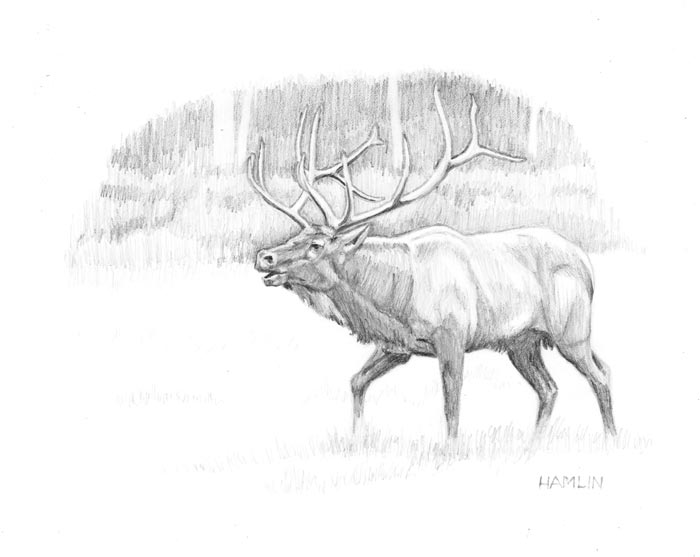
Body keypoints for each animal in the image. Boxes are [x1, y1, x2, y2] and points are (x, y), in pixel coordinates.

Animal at [246, 84, 617, 439]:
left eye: (317, 245)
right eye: (297, 234)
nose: (265, 256)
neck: (391, 301)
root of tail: (587, 265)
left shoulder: (452, 336)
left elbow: (451, 407)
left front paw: (448, 449)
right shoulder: (396, 345)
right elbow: (356, 382)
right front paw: (356, 439)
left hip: (572, 331)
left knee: (600, 375)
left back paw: (610, 438)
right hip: (522, 341)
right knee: (551, 387)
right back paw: (534, 445)